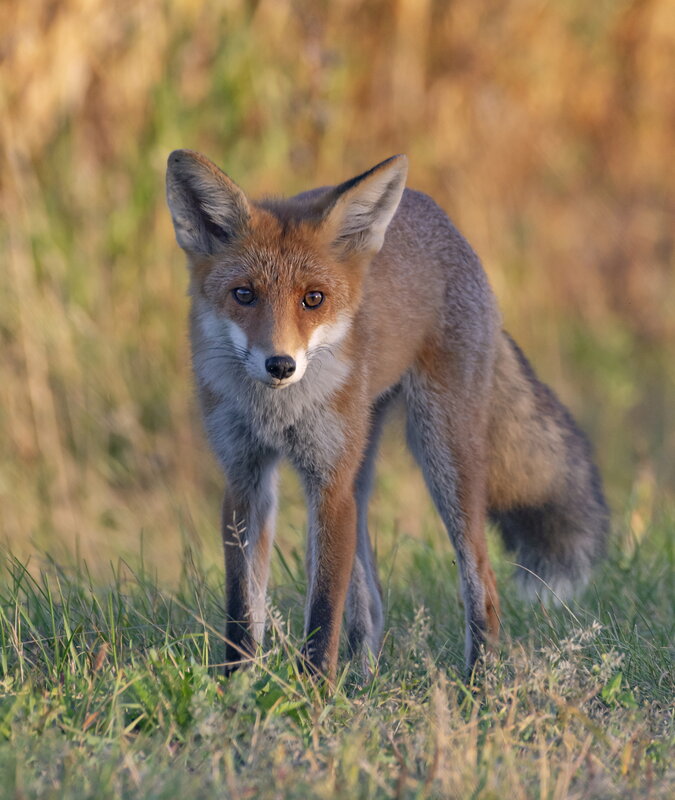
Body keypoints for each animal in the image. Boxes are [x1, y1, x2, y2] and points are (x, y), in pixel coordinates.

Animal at [165, 149, 609, 680]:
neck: (278, 412)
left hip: (443, 457)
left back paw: (476, 687)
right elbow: (241, 609)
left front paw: (314, 692)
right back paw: (363, 679)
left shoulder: (330, 484)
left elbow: (322, 614)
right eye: (244, 295)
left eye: (313, 299)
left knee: (481, 582)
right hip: (361, 471)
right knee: (371, 600)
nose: (280, 364)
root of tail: (437, 215)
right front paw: (236, 686)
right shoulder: (245, 478)